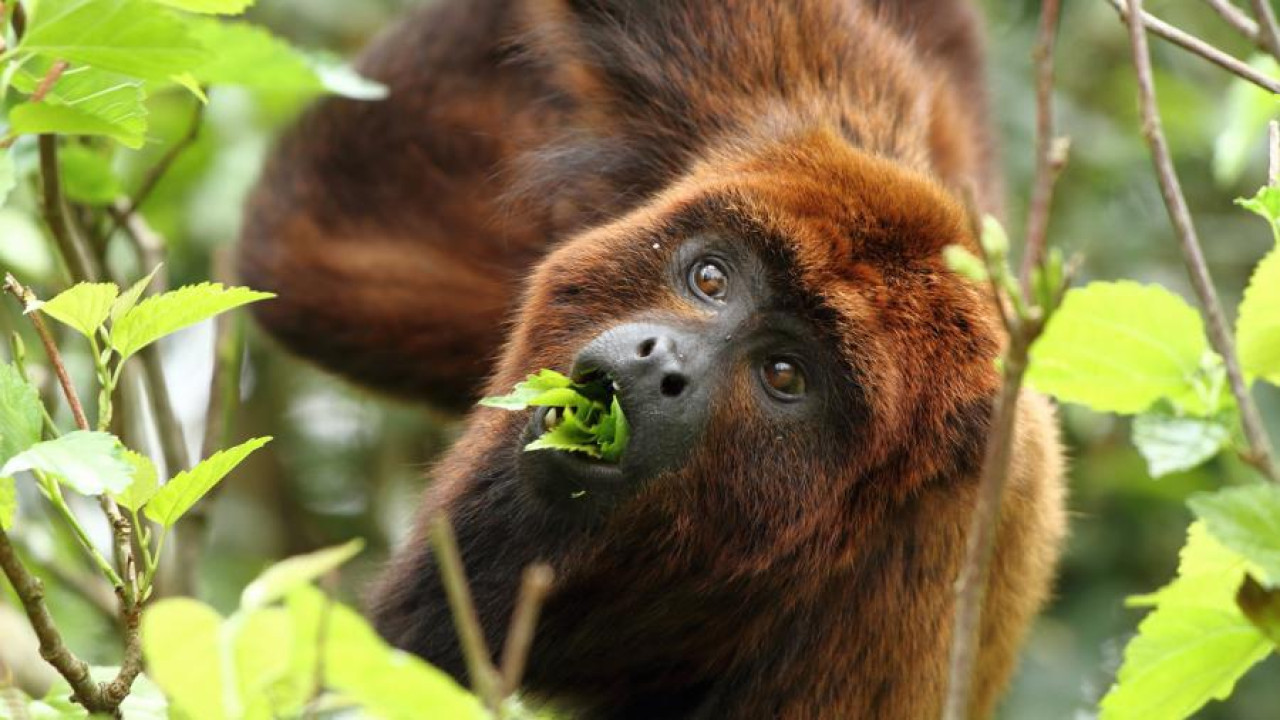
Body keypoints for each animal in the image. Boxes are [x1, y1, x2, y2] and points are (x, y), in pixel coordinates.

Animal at [240, 2, 1070, 712]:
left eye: (784, 375)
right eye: (710, 279)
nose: (657, 360)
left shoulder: (886, 608)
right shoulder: (774, 112)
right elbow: (316, 229)